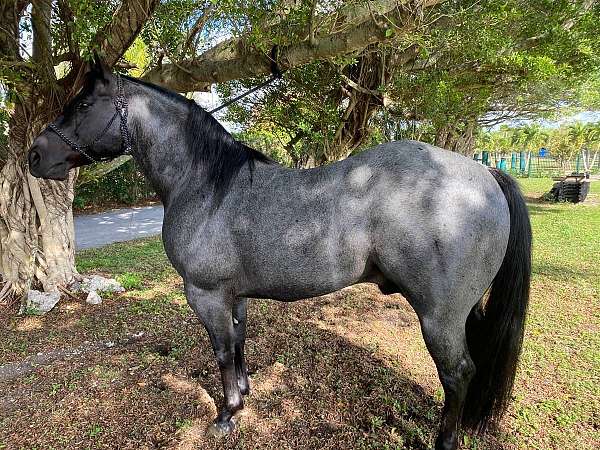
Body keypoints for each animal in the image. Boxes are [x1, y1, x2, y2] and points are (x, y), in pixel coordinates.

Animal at [28, 57, 528, 450]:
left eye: (83, 105)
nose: (35, 155)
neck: (207, 185)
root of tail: (482, 173)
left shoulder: (206, 294)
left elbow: (222, 351)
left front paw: (227, 413)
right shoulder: (235, 296)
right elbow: (239, 342)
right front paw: (245, 394)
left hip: (439, 317)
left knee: (458, 373)